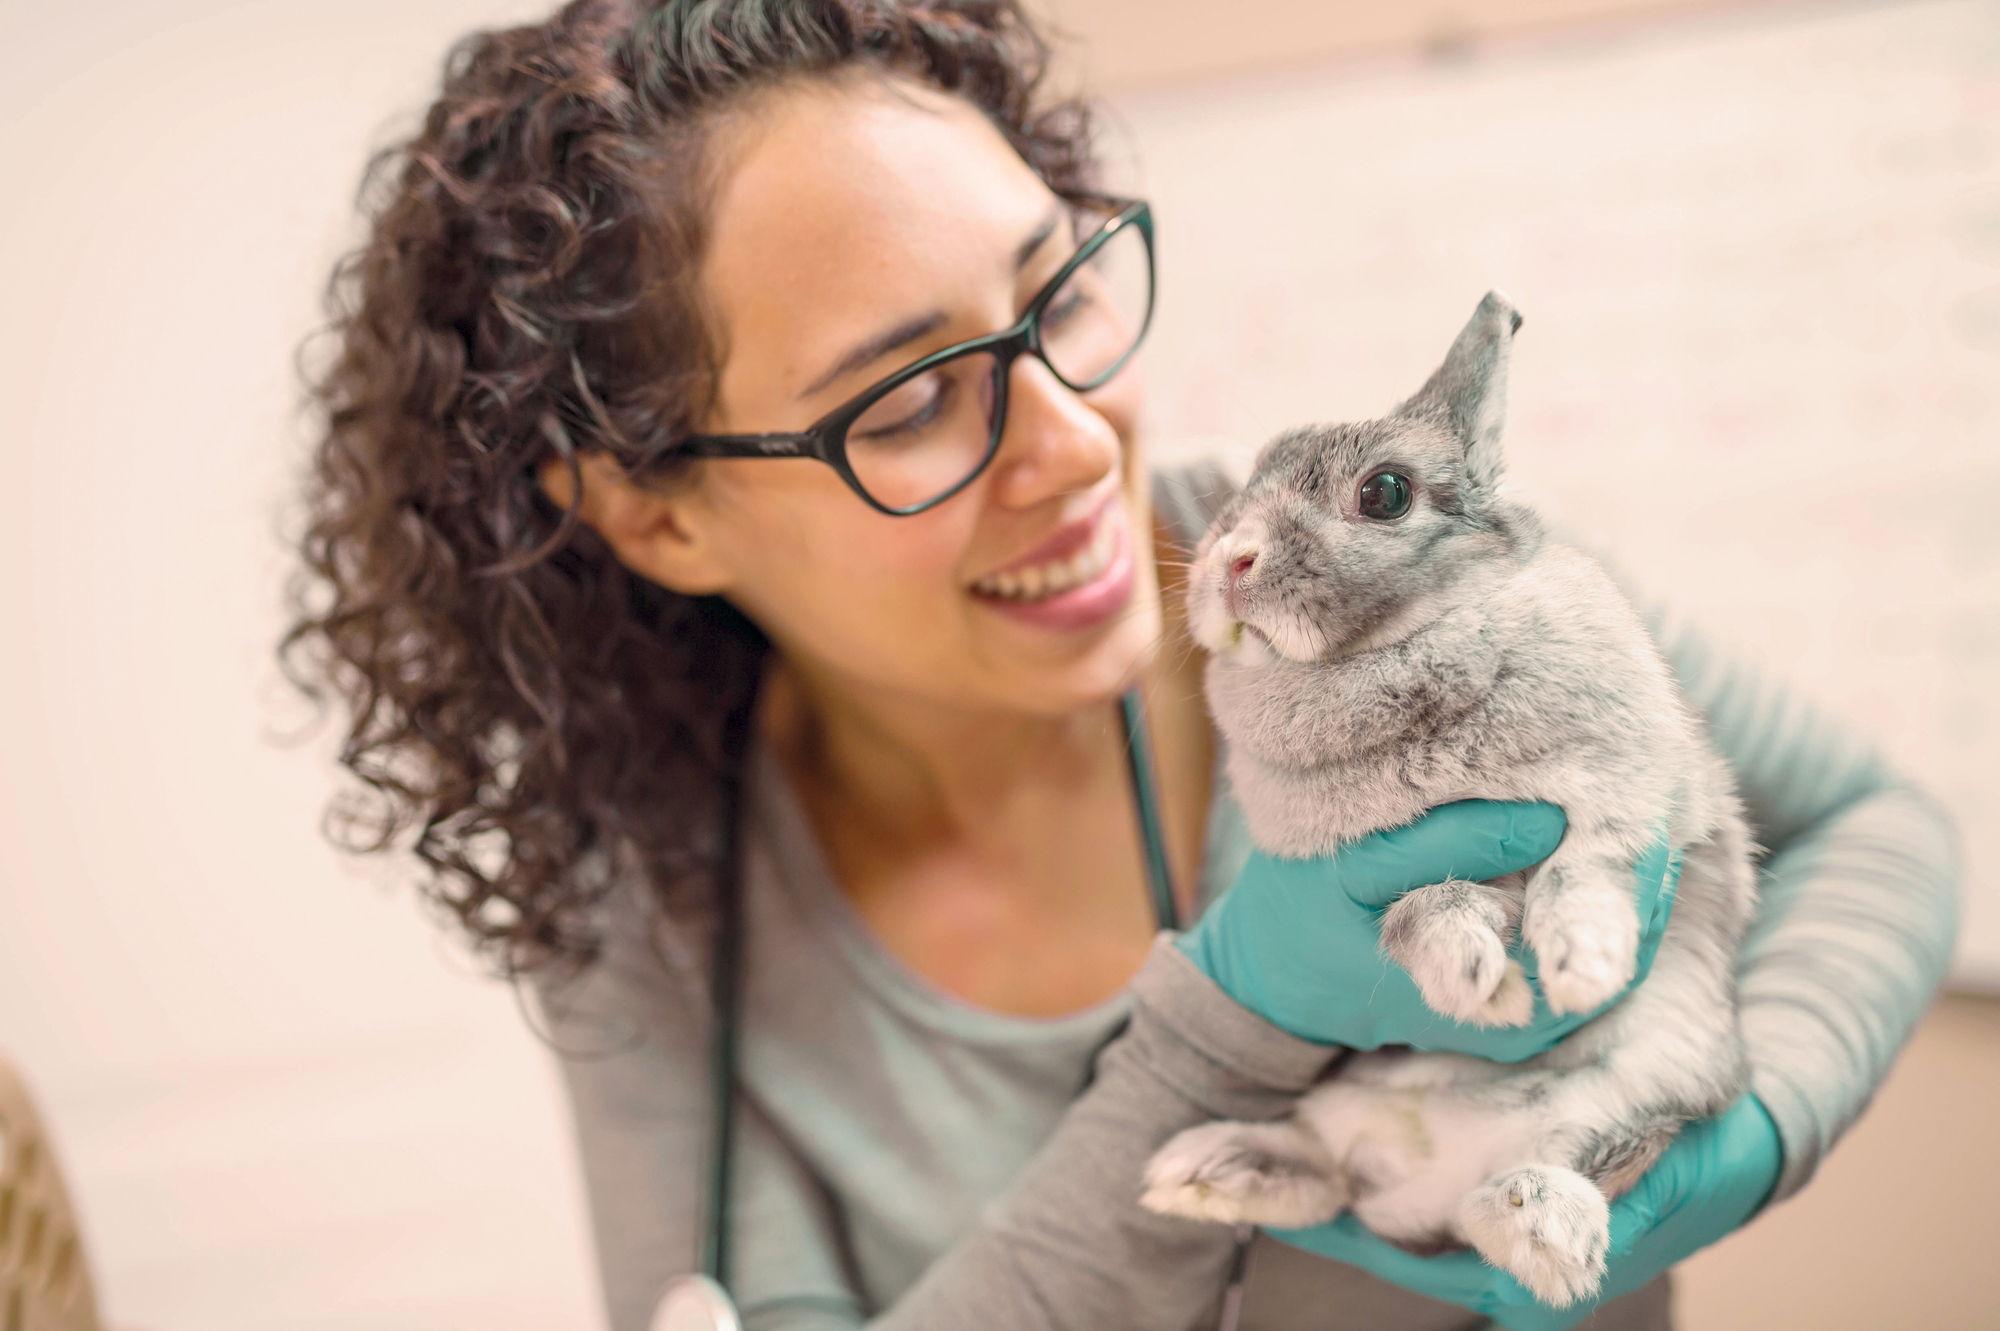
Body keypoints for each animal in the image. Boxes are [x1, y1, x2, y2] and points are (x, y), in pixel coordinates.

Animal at [1138, 292, 1759, 1307]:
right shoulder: (1363, 875)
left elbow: (1585, 869)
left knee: (1523, 1199)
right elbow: (1420, 903)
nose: (1229, 560)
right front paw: (1478, 978)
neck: (1398, 647)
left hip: (1654, 1073)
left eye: (1385, 493)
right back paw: (1205, 1168)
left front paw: (1580, 966)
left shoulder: (1632, 789)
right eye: (1248, 478)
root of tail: (1421, 1162)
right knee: (1337, 1177)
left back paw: (1542, 1222)